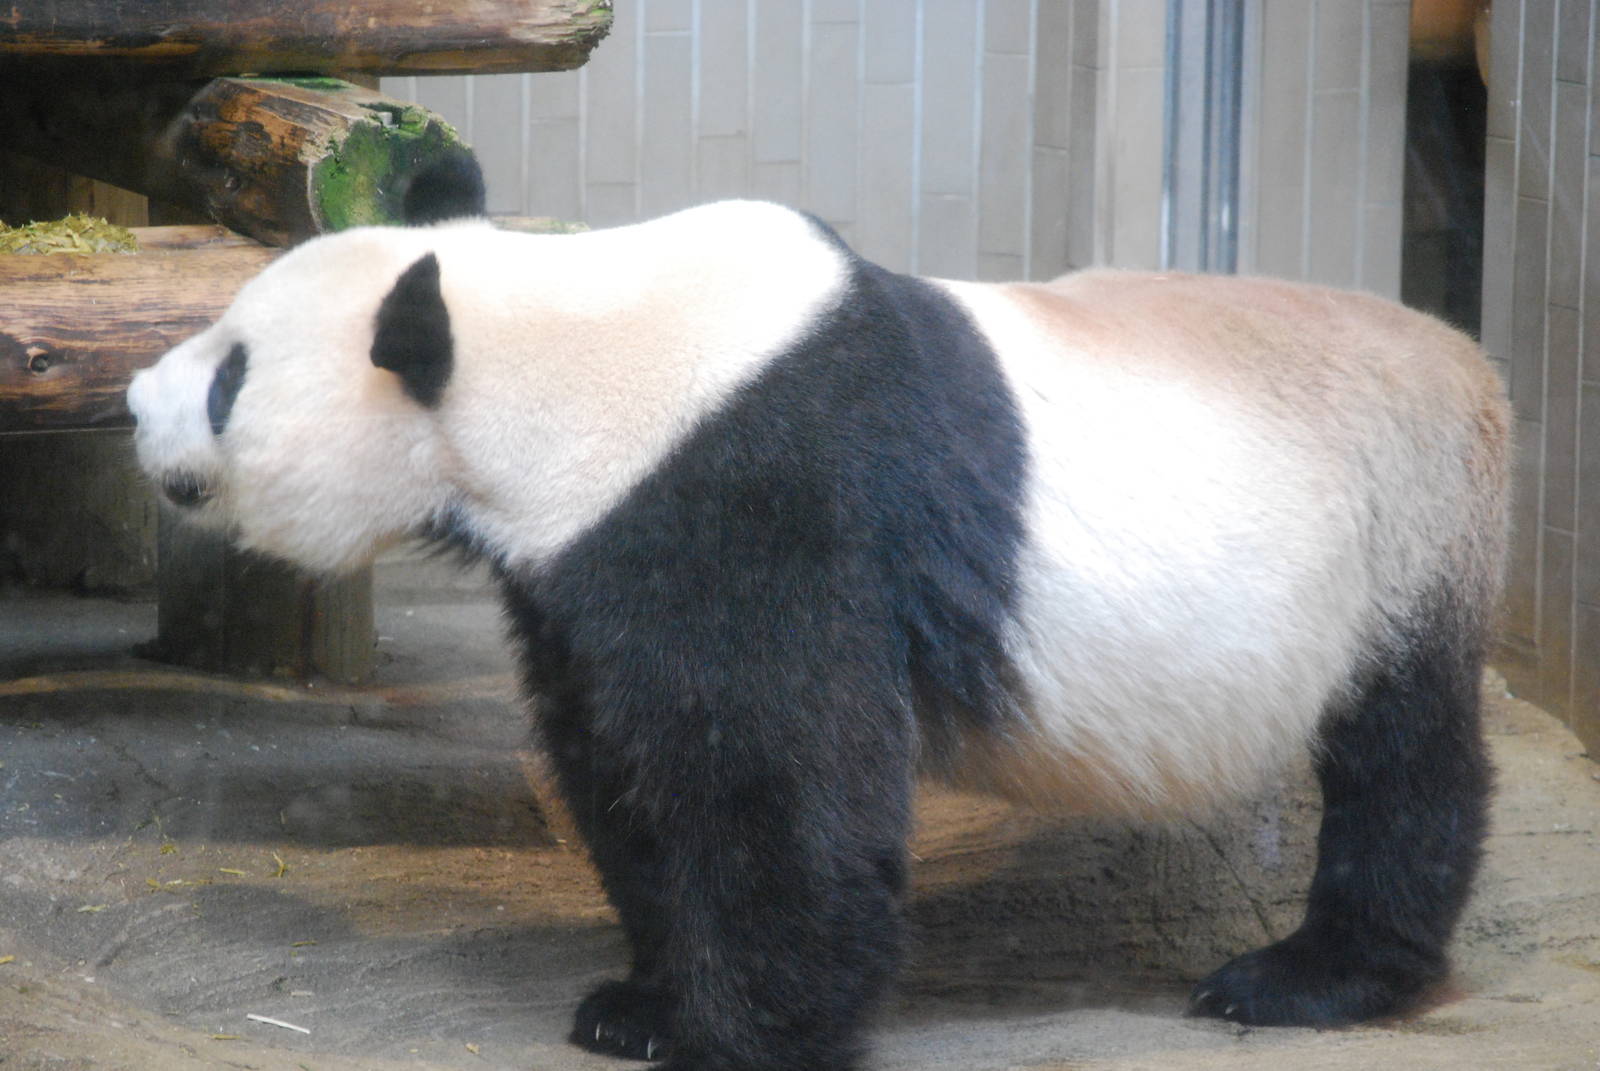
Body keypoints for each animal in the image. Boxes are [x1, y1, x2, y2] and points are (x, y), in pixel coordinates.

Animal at [126, 177, 1509, 1071]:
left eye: (233, 372)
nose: (136, 400)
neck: (559, 346)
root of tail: (1469, 361)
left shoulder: (758, 488)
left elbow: (773, 777)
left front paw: (740, 1037)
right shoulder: (586, 560)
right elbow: (620, 765)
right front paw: (638, 1005)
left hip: (1398, 540)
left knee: (1405, 763)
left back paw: (1305, 979)